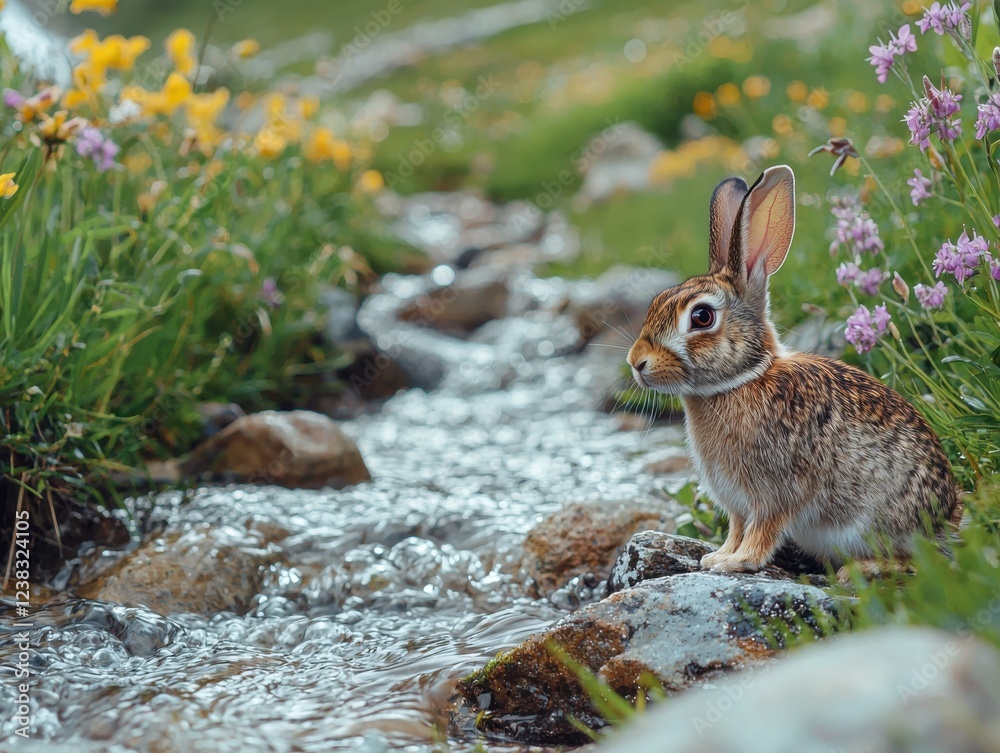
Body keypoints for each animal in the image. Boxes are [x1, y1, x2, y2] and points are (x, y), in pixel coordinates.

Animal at [626, 164, 959, 579]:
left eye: (701, 317)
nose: (636, 361)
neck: (741, 381)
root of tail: (947, 520)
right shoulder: (738, 503)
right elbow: (736, 527)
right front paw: (717, 556)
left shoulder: (777, 492)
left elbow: (763, 529)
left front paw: (738, 562)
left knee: (916, 560)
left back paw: (861, 569)